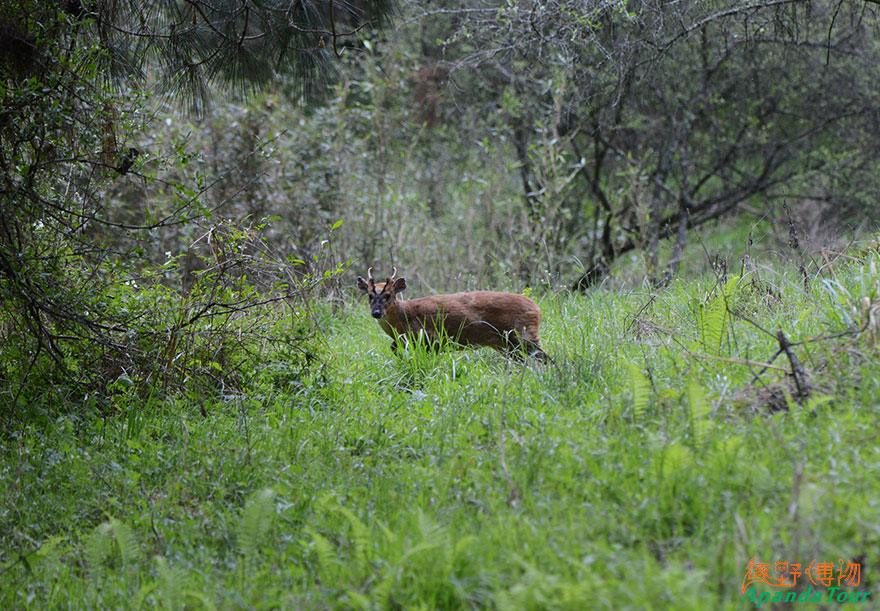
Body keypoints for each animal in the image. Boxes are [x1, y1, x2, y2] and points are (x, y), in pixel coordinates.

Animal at [354, 268, 548, 364]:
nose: (376, 313)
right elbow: (393, 348)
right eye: (370, 296)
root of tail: (537, 309)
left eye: (388, 295)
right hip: (508, 344)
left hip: (523, 335)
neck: (404, 318)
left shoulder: (431, 339)